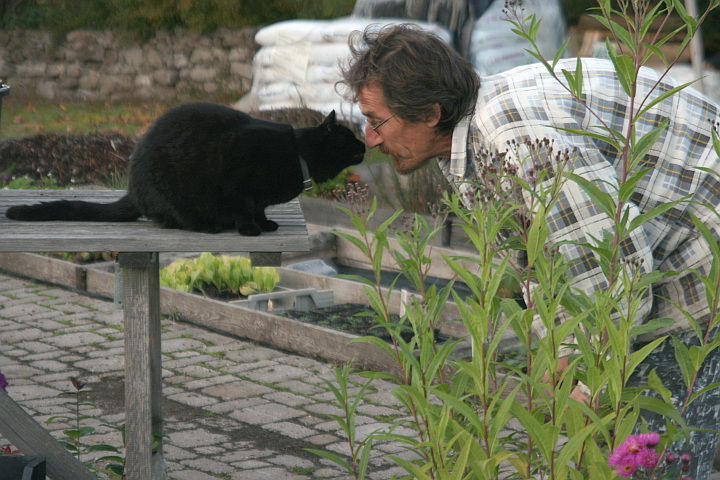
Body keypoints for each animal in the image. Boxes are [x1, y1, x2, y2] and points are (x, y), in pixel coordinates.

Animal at [5, 101, 366, 236]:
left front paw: (265, 224)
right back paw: (210, 226)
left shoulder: (257, 196)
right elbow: (245, 207)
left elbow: (259, 207)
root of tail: (132, 189)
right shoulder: (236, 179)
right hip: (174, 193)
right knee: (176, 219)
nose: (364, 146)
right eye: (350, 138)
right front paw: (250, 228)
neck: (296, 153)